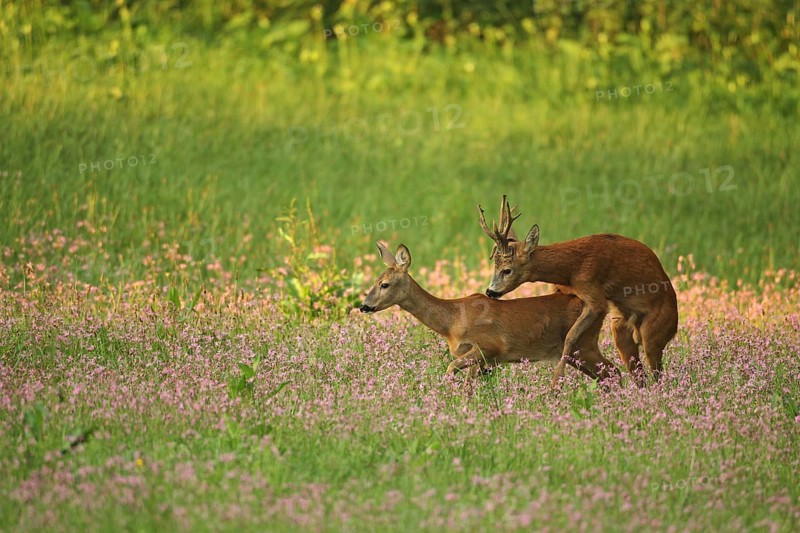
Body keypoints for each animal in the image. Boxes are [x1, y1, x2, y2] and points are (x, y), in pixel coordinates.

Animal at [359, 242, 621, 382]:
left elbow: (451, 369)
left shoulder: (488, 346)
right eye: (375, 280)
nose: (364, 306)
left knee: (615, 372)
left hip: (583, 345)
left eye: (385, 284)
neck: (451, 320)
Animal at [478, 195, 678, 388]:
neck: (572, 268)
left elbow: (570, 337)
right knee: (638, 374)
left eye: (507, 270)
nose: (490, 291)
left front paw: (556, 381)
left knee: (658, 374)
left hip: (654, 333)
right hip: (620, 331)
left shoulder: (594, 295)